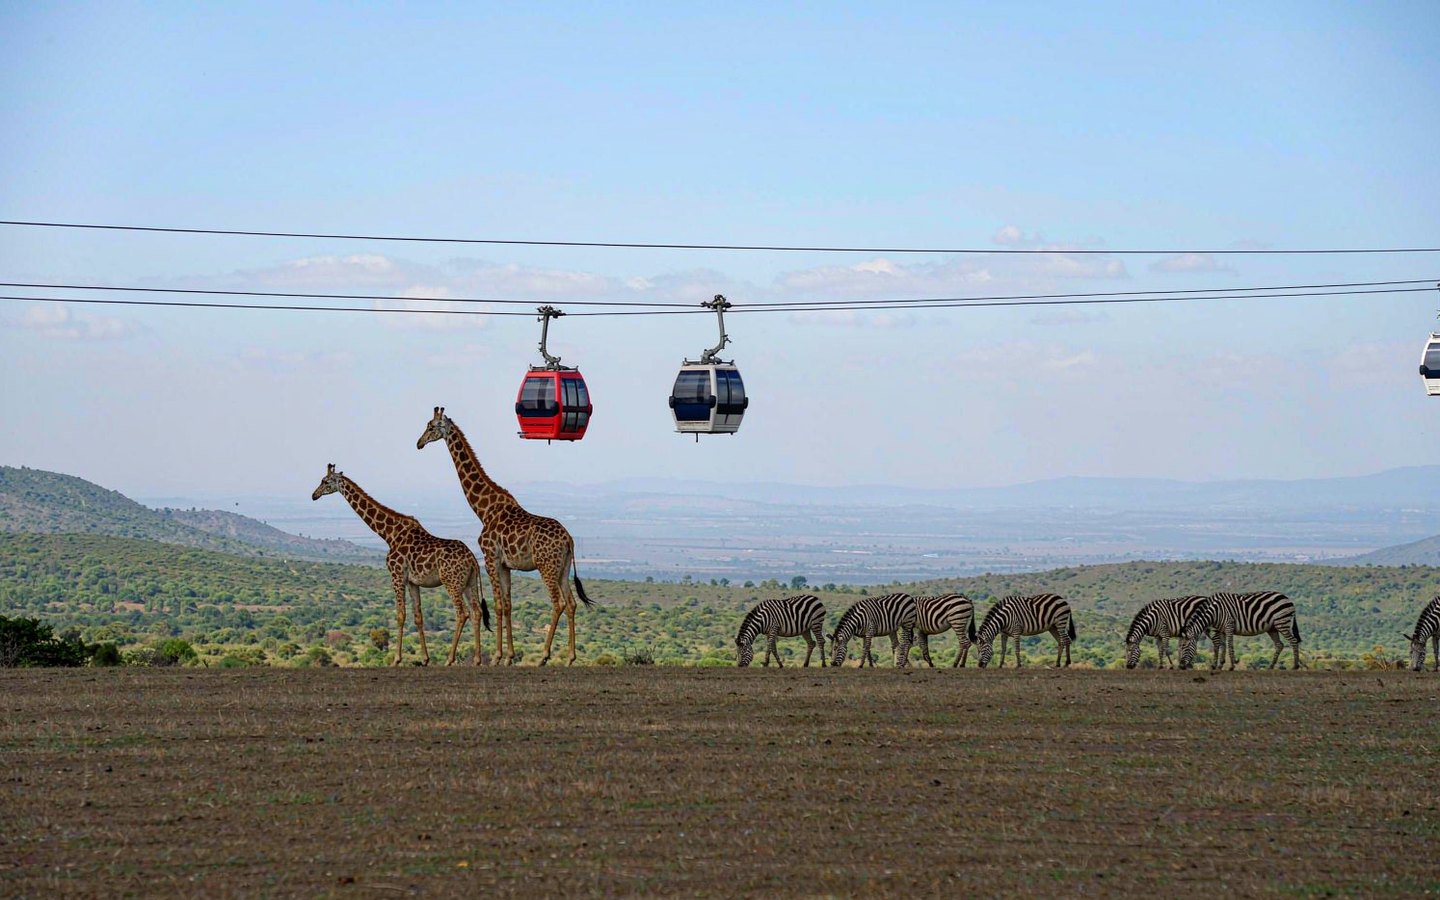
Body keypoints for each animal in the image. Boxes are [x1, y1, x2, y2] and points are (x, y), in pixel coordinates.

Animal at [311, 463, 490, 666]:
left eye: (325, 481)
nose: (314, 495)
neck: (389, 534)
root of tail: (472, 559)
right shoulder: (412, 581)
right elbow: (418, 617)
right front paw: (425, 659)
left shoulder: (396, 575)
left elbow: (400, 615)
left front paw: (396, 659)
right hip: (469, 582)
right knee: (476, 612)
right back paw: (476, 659)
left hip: (451, 582)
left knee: (462, 613)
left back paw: (449, 659)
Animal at [416, 407, 594, 666]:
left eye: (431, 426)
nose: (419, 443)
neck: (484, 509)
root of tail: (569, 539)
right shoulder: (506, 565)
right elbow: (508, 605)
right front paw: (509, 656)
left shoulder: (490, 558)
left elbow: (498, 605)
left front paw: (497, 657)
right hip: (563, 567)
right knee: (571, 603)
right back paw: (570, 658)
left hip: (546, 566)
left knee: (558, 602)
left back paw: (544, 656)